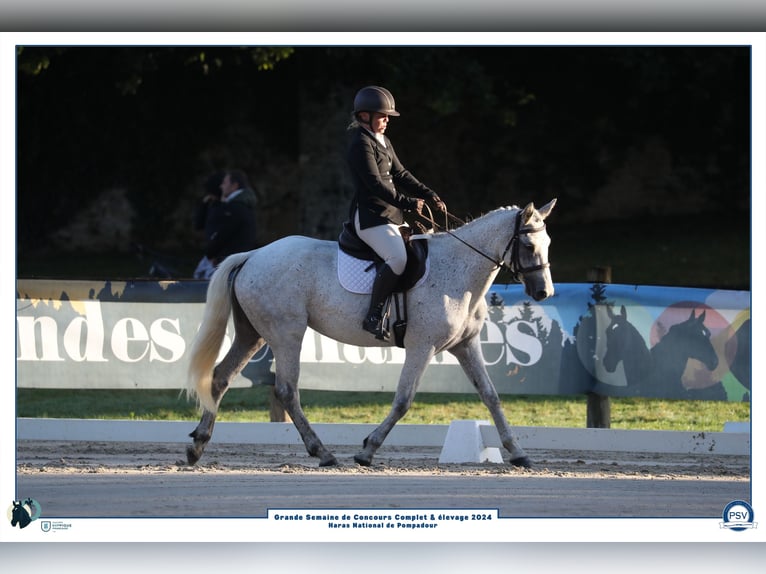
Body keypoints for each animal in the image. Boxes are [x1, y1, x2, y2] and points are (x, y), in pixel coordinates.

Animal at [186, 200, 560, 470]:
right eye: (528, 244)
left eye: (548, 243)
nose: (544, 292)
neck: (459, 269)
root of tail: (253, 255)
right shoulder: (422, 347)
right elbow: (403, 399)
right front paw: (367, 450)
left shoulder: (465, 346)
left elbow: (491, 396)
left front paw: (518, 453)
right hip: (286, 333)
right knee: (287, 389)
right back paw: (323, 453)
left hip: (254, 335)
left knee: (220, 377)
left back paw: (198, 445)